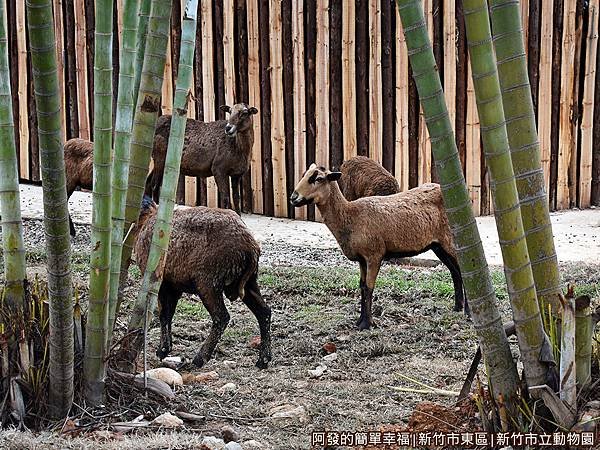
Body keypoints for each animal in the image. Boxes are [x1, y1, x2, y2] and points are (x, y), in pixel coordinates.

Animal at [134, 198, 272, 370]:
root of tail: (250, 247)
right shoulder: (174, 286)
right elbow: (168, 314)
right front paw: (165, 349)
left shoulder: (162, 283)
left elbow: (164, 315)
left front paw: (163, 350)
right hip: (249, 283)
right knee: (264, 312)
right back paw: (263, 360)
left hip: (208, 284)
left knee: (222, 317)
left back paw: (200, 358)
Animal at [290, 165, 464, 330]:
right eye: (304, 175)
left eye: (318, 178)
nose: (293, 197)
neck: (350, 216)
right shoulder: (361, 259)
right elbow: (361, 286)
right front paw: (359, 321)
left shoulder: (374, 255)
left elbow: (369, 287)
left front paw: (367, 324)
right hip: (437, 245)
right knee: (455, 272)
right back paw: (457, 307)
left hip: (450, 240)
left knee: (463, 270)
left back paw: (466, 311)